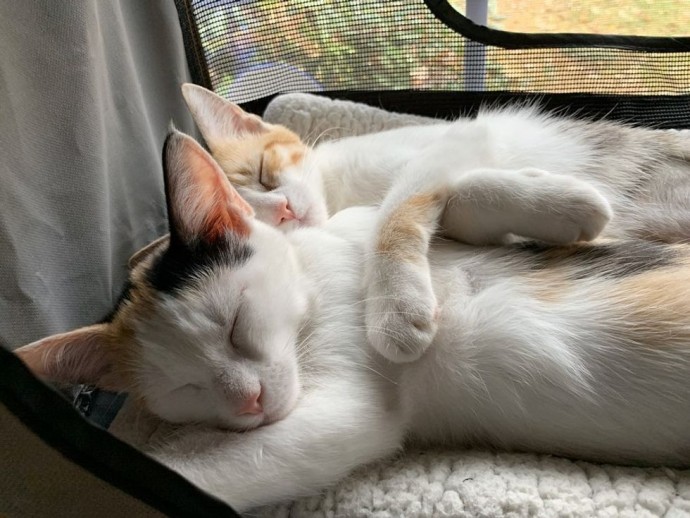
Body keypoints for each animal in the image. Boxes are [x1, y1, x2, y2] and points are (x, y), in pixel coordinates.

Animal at [13, 129, 688, 512]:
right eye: (186, 388)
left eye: (234, 321)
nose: (249, 400)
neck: (314, 285)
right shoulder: (340, 411)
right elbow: (186, 473)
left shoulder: (368, 224)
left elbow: (416, 200)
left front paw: (565, 200)